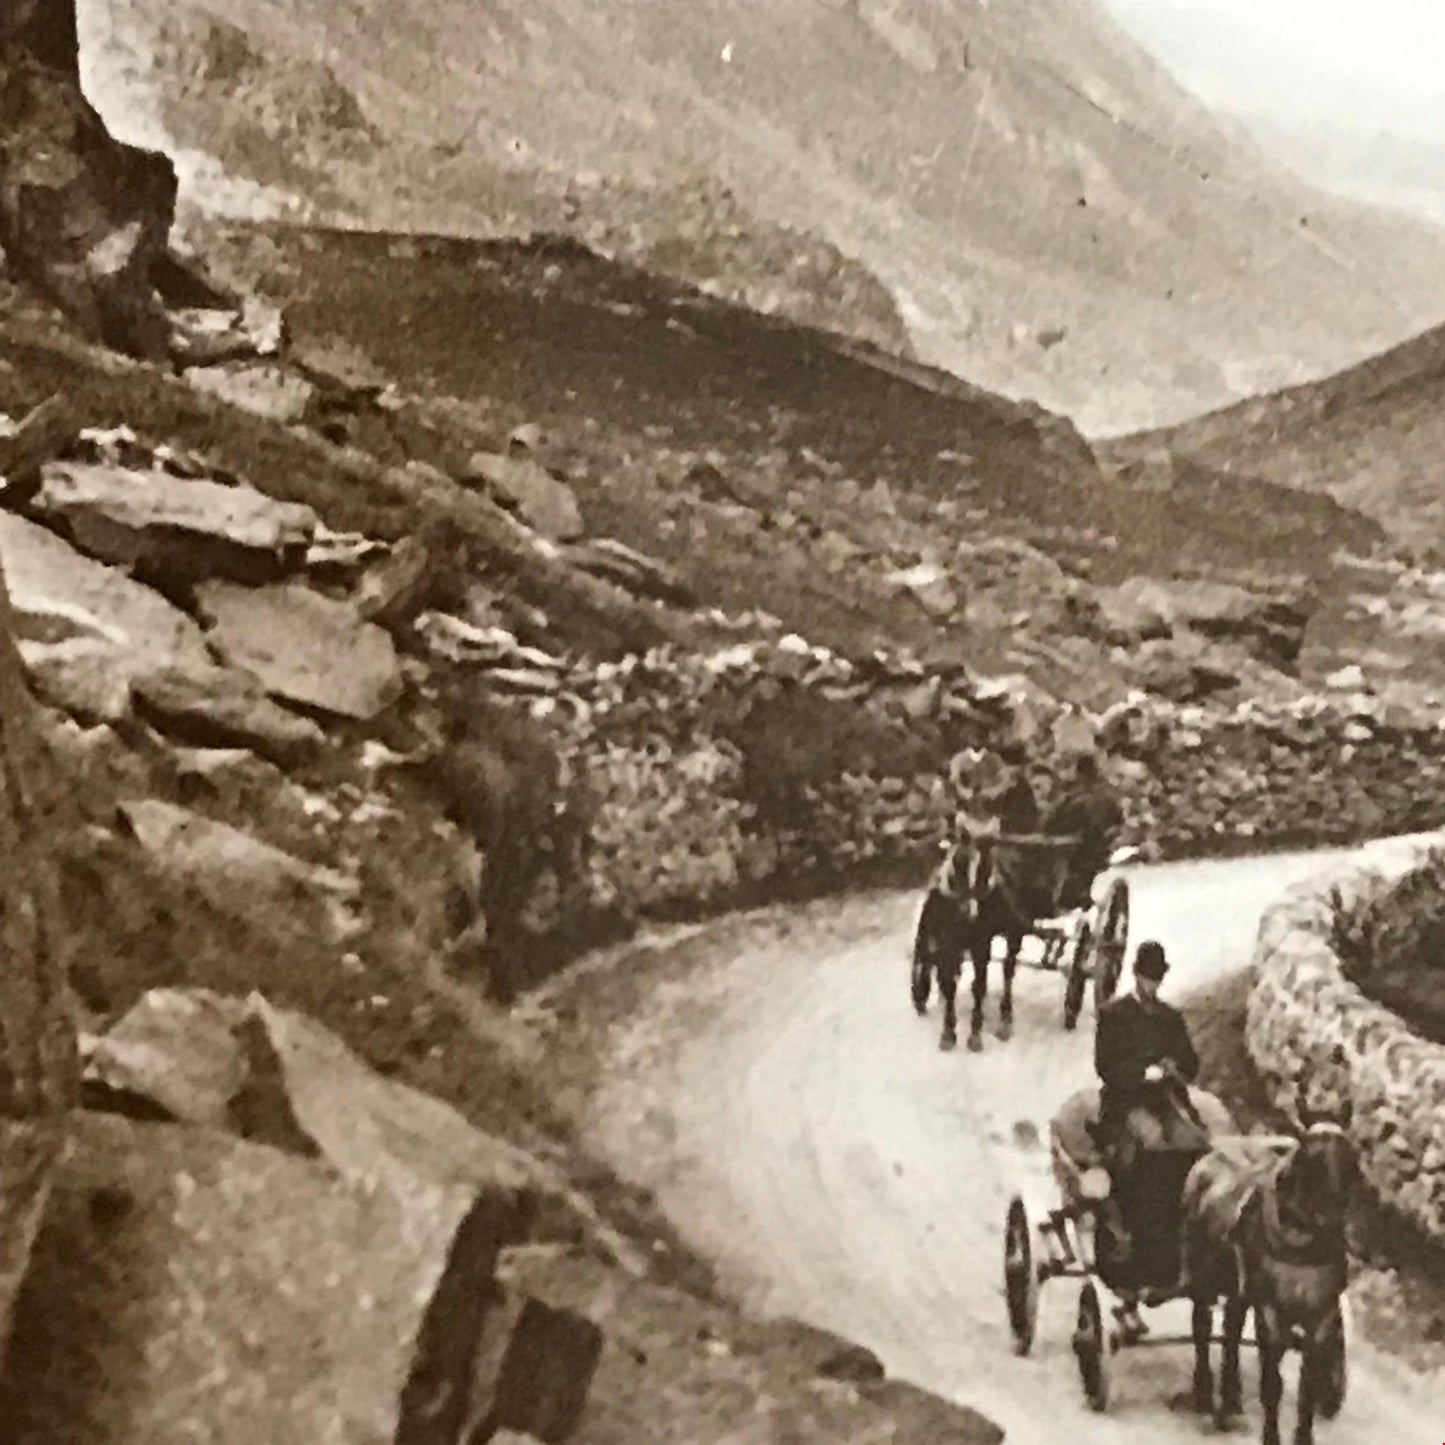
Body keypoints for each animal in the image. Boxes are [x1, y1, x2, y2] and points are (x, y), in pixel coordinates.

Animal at [1179, 1098, 1358, 1439]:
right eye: (1309, 1155)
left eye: (1350, 1156)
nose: (1332, 1220)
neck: (1302, 1242)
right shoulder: (1270, 1312)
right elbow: (1272, 1384)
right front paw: (1271, 1436)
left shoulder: (1321, 1316)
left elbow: (1307, 1388)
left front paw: (1303, 1435)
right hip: (1203, 1275)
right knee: (1202, 1327)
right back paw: (1205, 1393)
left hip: (1239, 1289)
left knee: (1231, 1331)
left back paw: (1231, 1399)